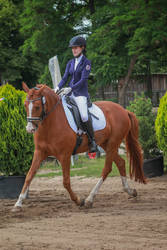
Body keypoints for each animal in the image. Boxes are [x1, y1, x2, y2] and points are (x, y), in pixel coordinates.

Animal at [12, 82, 147, 211]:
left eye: (37, 107)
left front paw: (78, 200)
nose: (29, 129)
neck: (50, 123)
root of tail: (123, 110)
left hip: (113, 144)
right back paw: (131, 191)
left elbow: (66, 181)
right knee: (120, 163)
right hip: (106, 144)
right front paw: (18, 204)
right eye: (25, 105)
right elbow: (29, 176)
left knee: (107, 169)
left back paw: (89, 199)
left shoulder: (64, 155)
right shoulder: (39, 152)